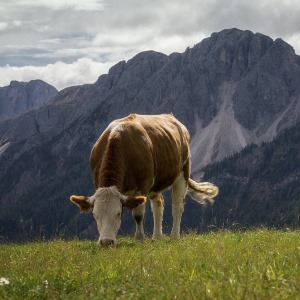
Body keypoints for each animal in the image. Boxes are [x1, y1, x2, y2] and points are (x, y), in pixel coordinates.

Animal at [70, 113, 218, 247]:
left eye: (118, 213)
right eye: (95, 215)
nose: (106, 242)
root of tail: (171, 117)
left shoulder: (142, 186)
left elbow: (138, 215)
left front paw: (139, 238)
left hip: (182, 172)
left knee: (177, 206)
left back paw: (174, 236)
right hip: (156, 183)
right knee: (158, 204)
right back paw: (157, 236)